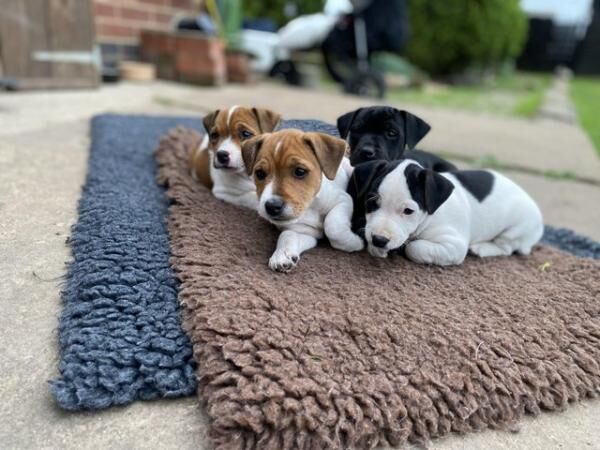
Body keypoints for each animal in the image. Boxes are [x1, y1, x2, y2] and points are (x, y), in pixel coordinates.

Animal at [241, 128, 364, 272]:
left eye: (300, 171)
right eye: (260, 173)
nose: (272, 206)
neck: (310, 207)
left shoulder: (343, 200)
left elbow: (333, 227)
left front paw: (355, 242)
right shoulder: (306, 232)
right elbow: (287, 235)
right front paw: (282, 255)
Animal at [350, 159, 548, 266]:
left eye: (408, 211)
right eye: (371, 202)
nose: (379, 239)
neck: (428, 217)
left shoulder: (453, 244)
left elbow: (415, 248)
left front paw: (404, 248)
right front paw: (377, 248)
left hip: (515, 230)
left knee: (506, 248)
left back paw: (482, 248)